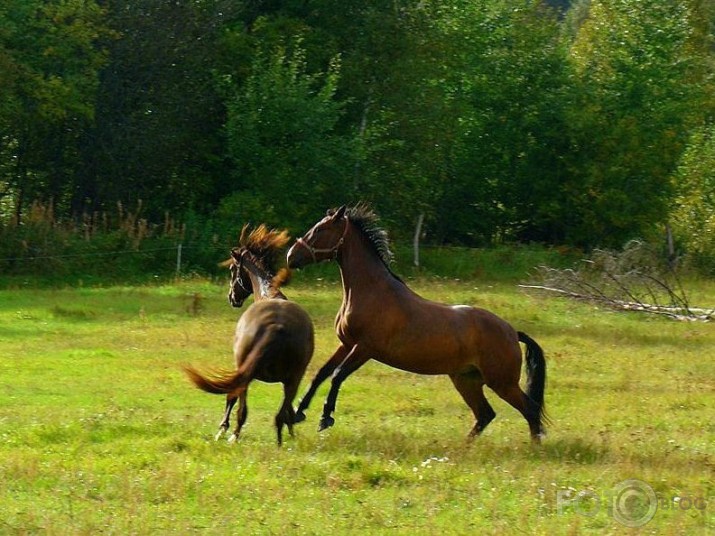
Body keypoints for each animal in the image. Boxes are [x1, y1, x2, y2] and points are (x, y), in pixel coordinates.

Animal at [186, 224, 314, 446]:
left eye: (232, 270)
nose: (232, 297)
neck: (268, 293)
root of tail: (276, 325)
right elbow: (289, 411)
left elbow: (232, 397)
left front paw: (222, 430)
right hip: (294, 378)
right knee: (280, 415)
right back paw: (281, 444)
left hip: (248, 372)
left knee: (241, 405)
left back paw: (234, 436)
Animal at [286, 203, 548, 442]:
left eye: (320, 229)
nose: (290, 257)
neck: (370, 291)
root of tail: (512, 332)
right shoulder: (347, 344)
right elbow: (321, 374)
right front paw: (298, 413)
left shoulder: (365, 348)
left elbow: (337, 375)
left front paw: (325, 418)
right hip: (467, 380)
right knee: (485, 414)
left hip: (502, 382)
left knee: (529, 409)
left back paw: (534, 448)